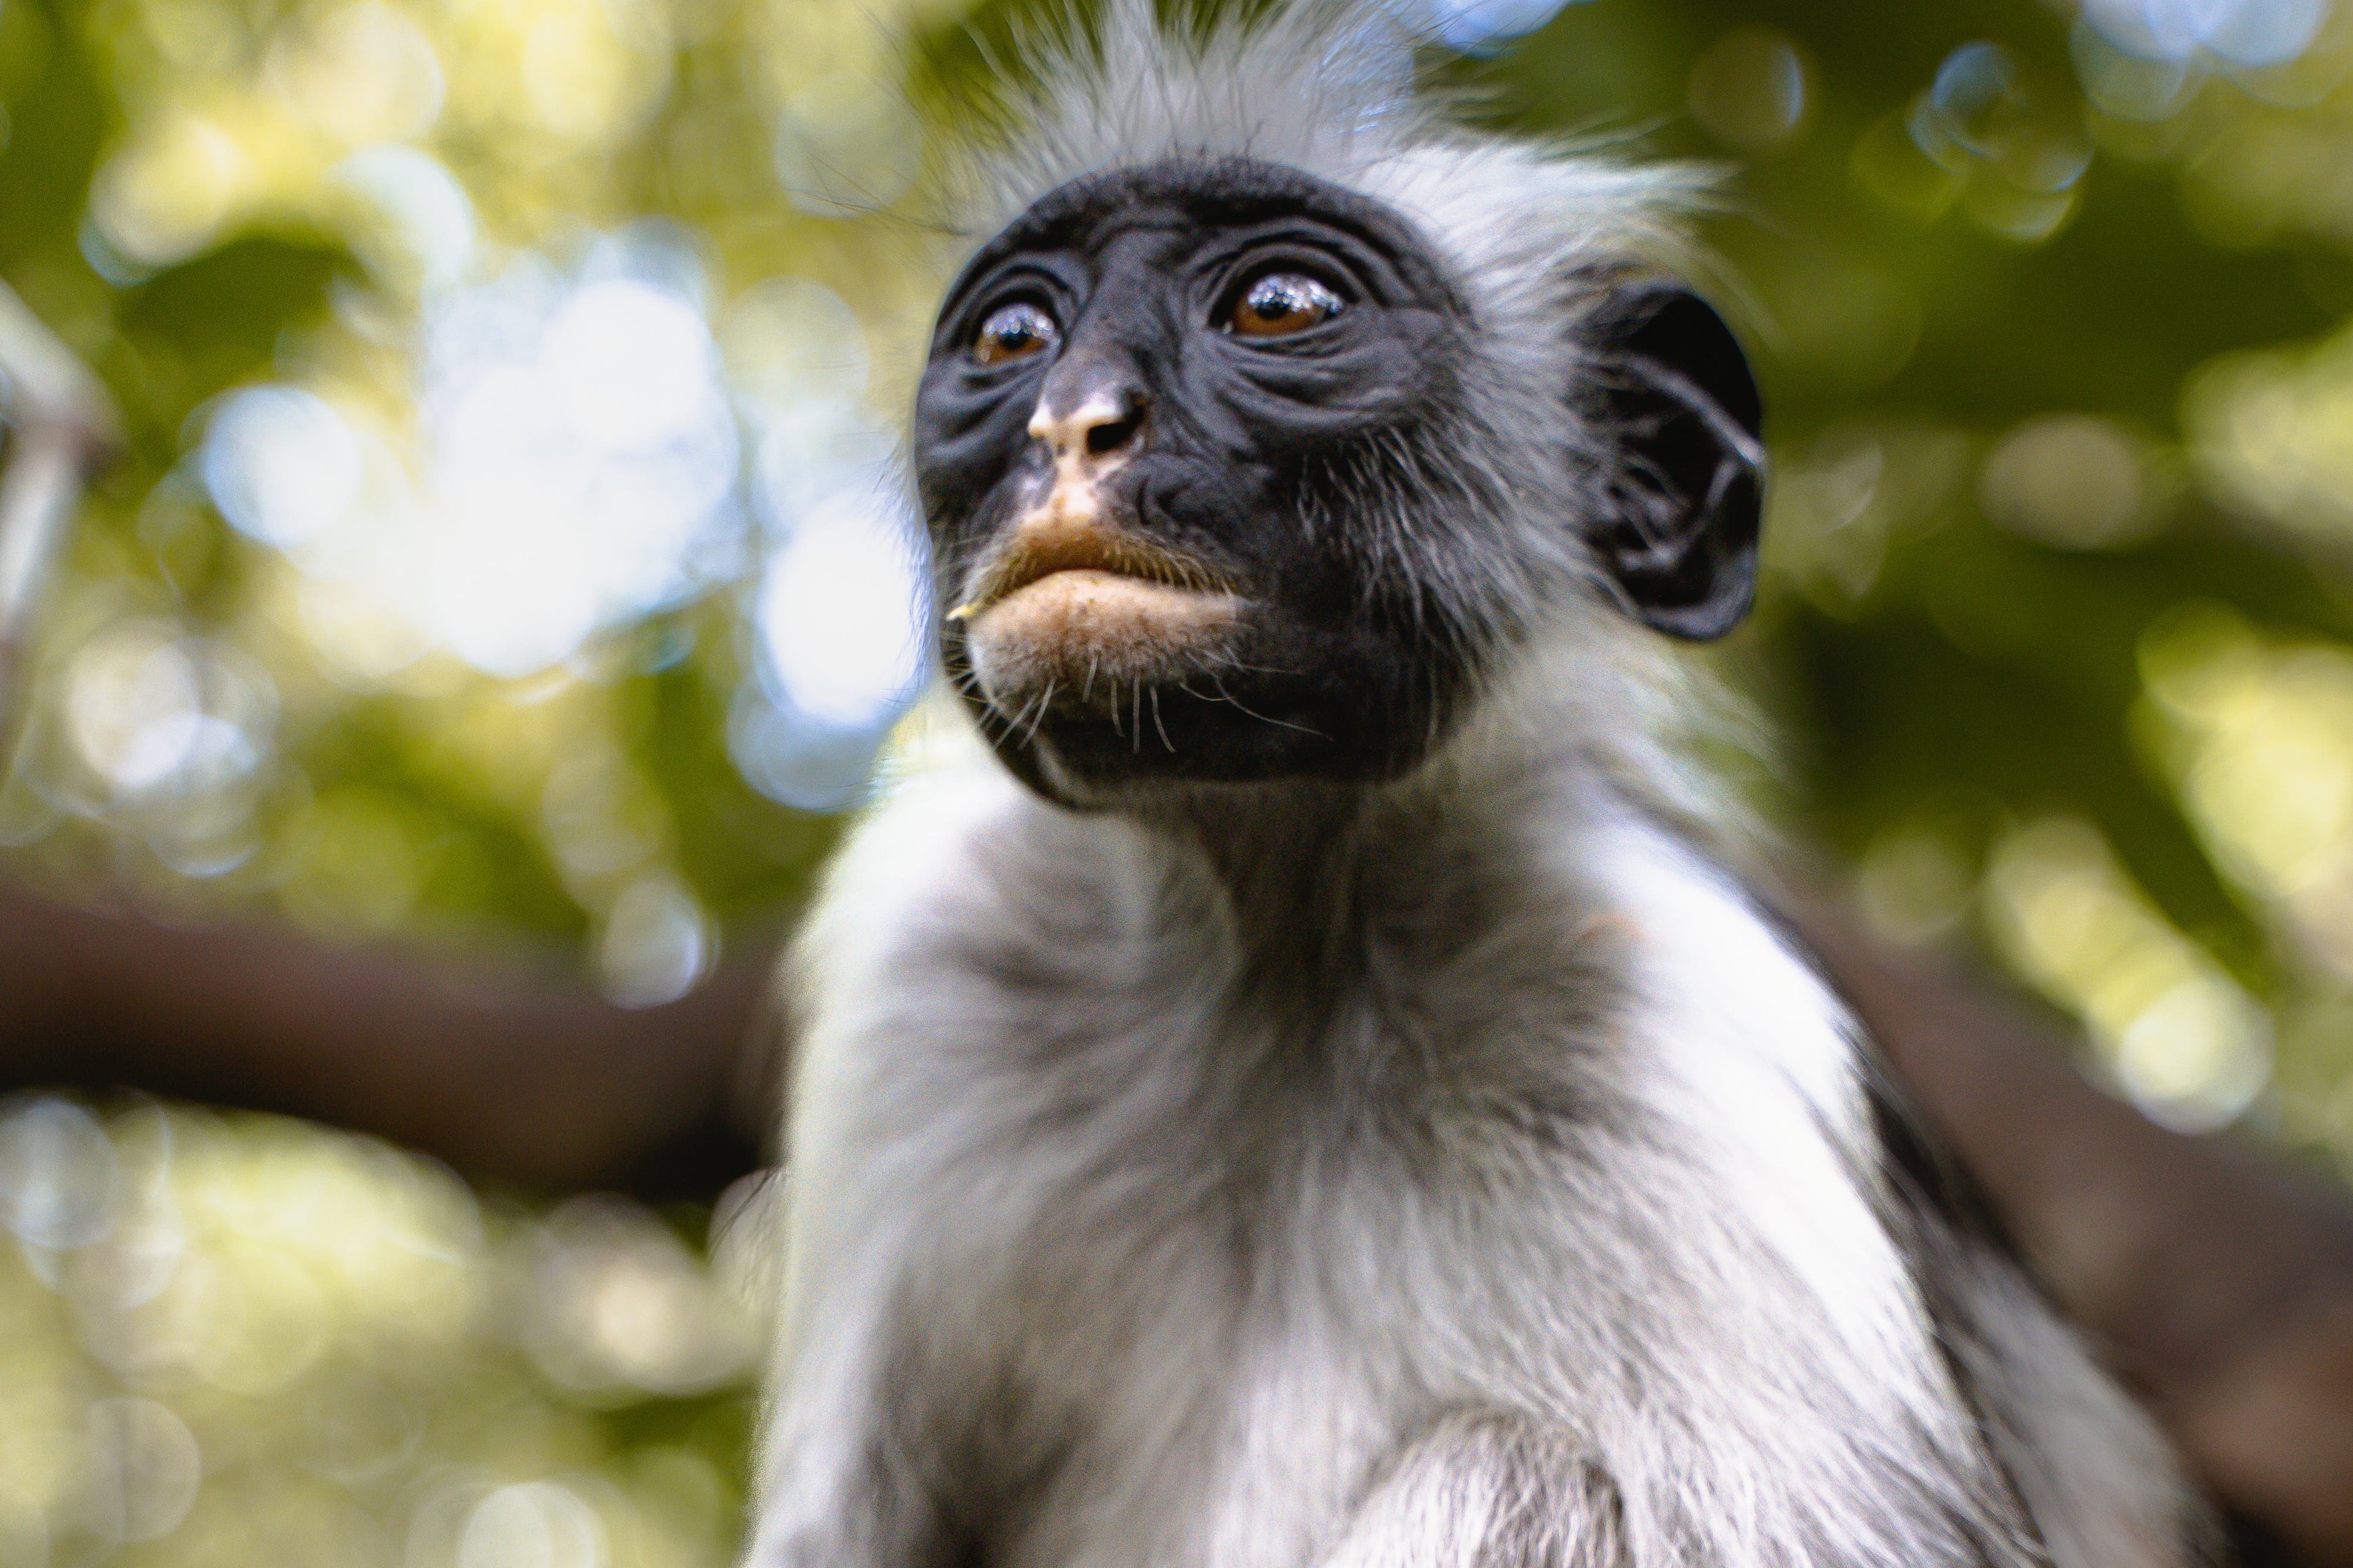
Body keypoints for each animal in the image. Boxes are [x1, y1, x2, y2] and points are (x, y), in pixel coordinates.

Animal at [743, 6, 2211, 1553]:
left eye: (1279, 306)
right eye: (1012, 337)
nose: (1075, 420)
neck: (1272, 951)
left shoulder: (1661, 1016)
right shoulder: (940, 960)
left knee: (1508, 1458)